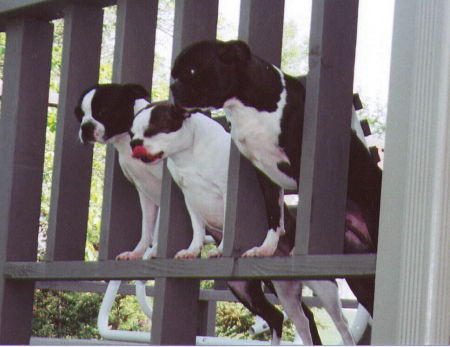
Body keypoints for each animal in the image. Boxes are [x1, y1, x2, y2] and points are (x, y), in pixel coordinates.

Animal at [74, 83, 163, 260]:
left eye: (103, 111)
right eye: (80, 116)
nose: (85, 127)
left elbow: (158, 228)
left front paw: (154, 251)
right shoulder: (145, 191)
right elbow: (147, 226)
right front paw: (137, 253)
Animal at [129, 100, 356, 346]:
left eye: (153, 129)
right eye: (132, 134)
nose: (134, 143)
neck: (188, 154)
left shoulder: (227, 193)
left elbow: (229, 226)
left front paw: (220, 249)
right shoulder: (190, 199)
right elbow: (197, 229)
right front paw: (192, 250)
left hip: (322, 286)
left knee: (341, 323)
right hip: (262, 289)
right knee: (293, 319)